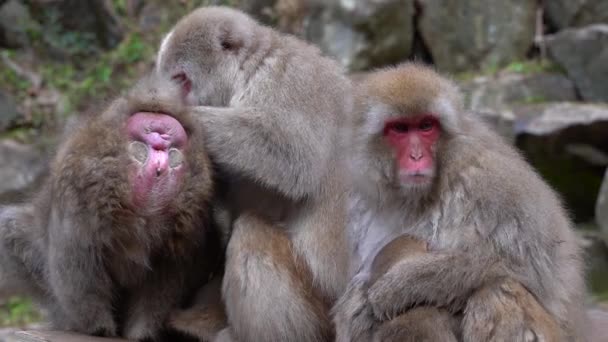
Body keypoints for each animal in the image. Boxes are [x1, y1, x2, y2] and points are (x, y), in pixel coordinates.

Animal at [0, 73, 222, 340]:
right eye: (148, 140)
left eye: (171, 148)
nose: (160, 165)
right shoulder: (81, 188)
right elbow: (76, 260)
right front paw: (99, 327)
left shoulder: (191, 214)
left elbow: (166, 274)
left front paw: (141, 332)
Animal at [157, 5, 352, 342]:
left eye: (180, 78)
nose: (174, 97)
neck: (246, 76)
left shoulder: (286, 80)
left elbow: (294, 158)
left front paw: (185, 117)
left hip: (316, 309)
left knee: (252, 233)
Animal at [334, 62, 588, 340]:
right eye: (400, 129)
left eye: (426, 126)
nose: (416, 156)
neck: (415, 198)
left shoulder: (490, 179)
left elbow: (532, 269)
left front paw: (405, 283)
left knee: (498, 287)